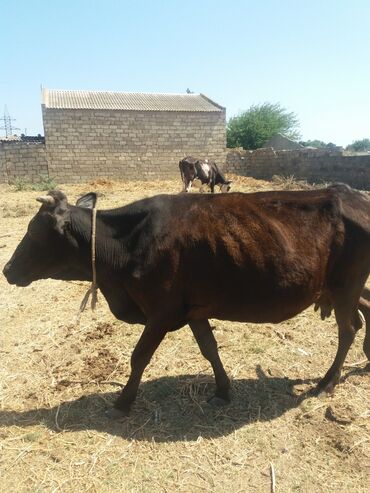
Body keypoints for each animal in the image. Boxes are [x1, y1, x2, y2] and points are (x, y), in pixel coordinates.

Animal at [2, 184, 370, 416]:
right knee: (361, 315)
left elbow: (139, 357)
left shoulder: (161, 313)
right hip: (340, 289)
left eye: (33, 232)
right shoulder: (193, 309)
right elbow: (209, 348)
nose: (7, 270)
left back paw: (327, 383)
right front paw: (222, 390)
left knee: (349, 328)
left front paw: (122, 403)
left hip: (345, 287)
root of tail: (350, 193)